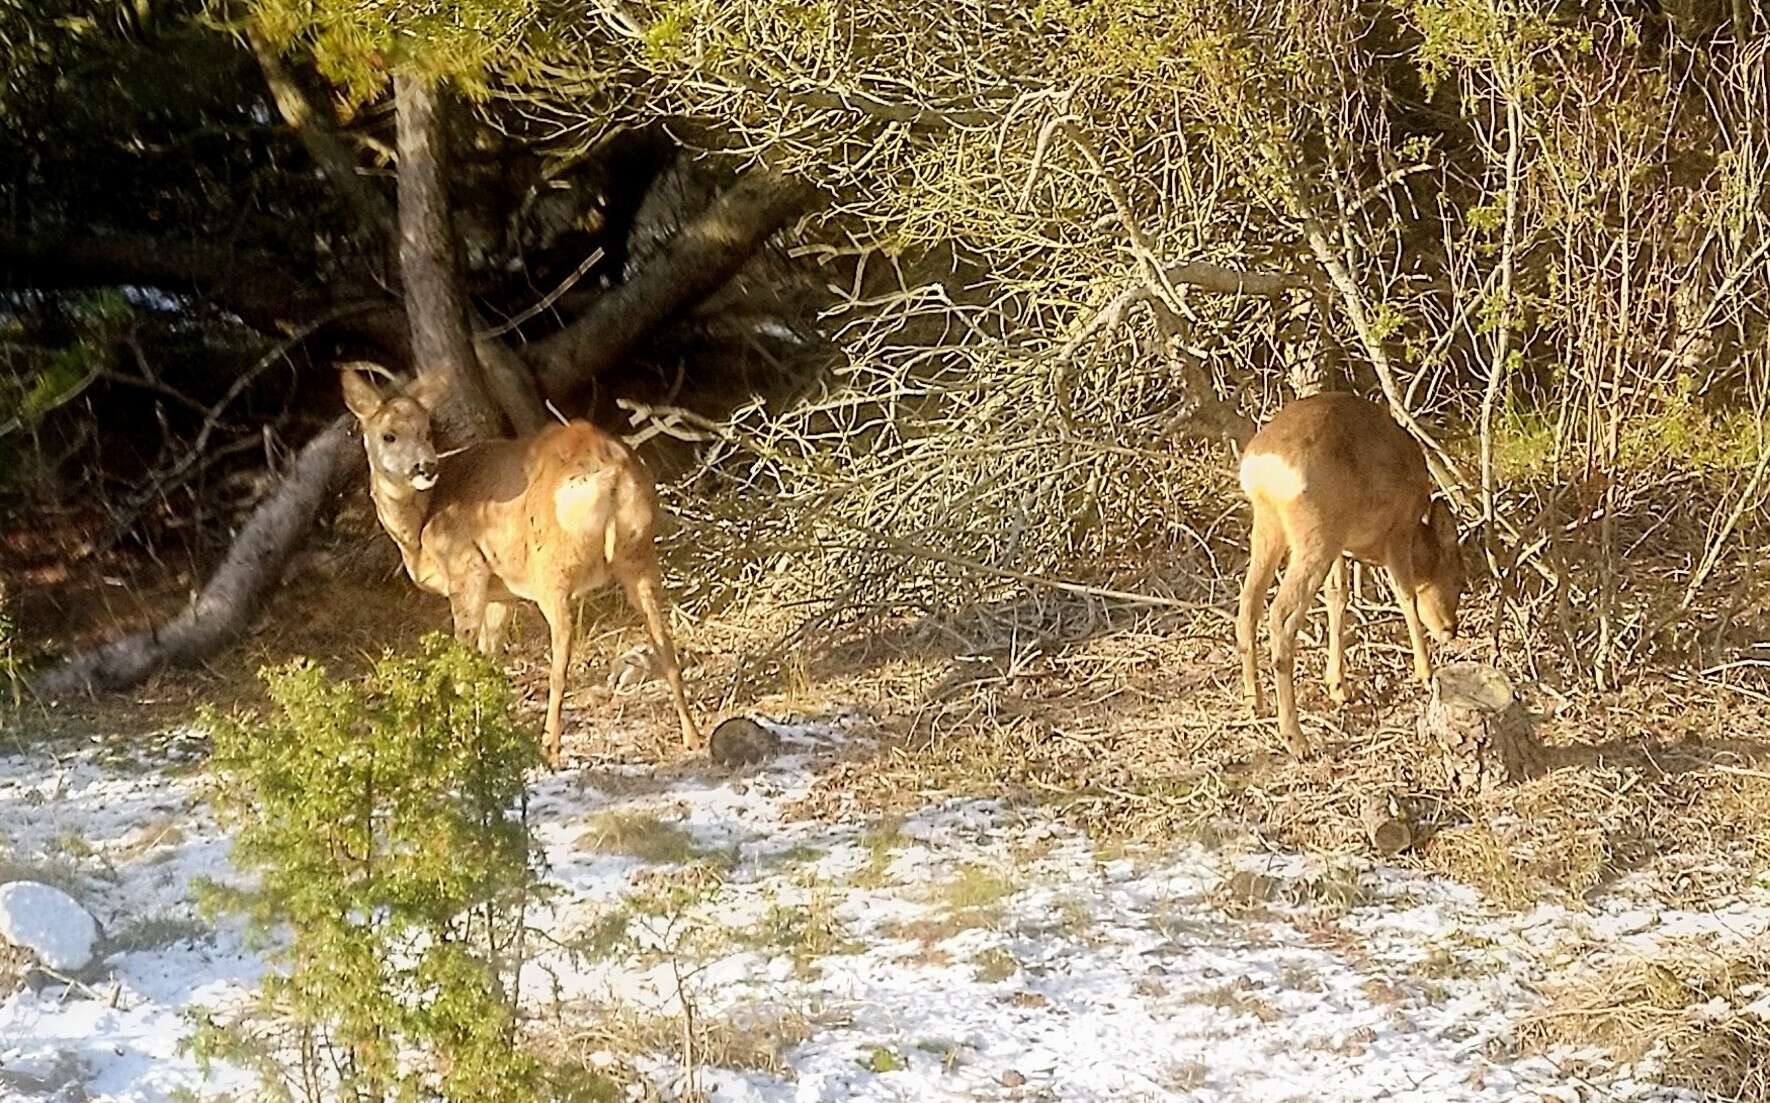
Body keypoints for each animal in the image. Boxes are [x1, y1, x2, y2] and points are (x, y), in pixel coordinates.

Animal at [341, 368, 700, 768]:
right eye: (389, 435)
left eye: (427, 432)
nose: (425, 466)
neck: (419, 528)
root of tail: (610, 474)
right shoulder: (502, 594)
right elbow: (490, 660)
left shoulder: (467, 569)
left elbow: (465, 659)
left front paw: (464, 741)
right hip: (639, 554)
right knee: (663, 638)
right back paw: (693, 737)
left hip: (551, 567)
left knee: (563, 647)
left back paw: (550, 745)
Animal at [1231, 391, 1465, 757]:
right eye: (1458, 580)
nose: (1450, 629)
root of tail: (1264, 466)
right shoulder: (1397, 532)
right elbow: (1406, 595)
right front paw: (1426, 672)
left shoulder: (1342, 547)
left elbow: (1338, 597)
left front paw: (1338, 685)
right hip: (1316, 533)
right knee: (1281, 614)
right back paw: (1295, 738)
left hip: (1272, 525)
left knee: (1248, 604)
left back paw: (1254, 702)